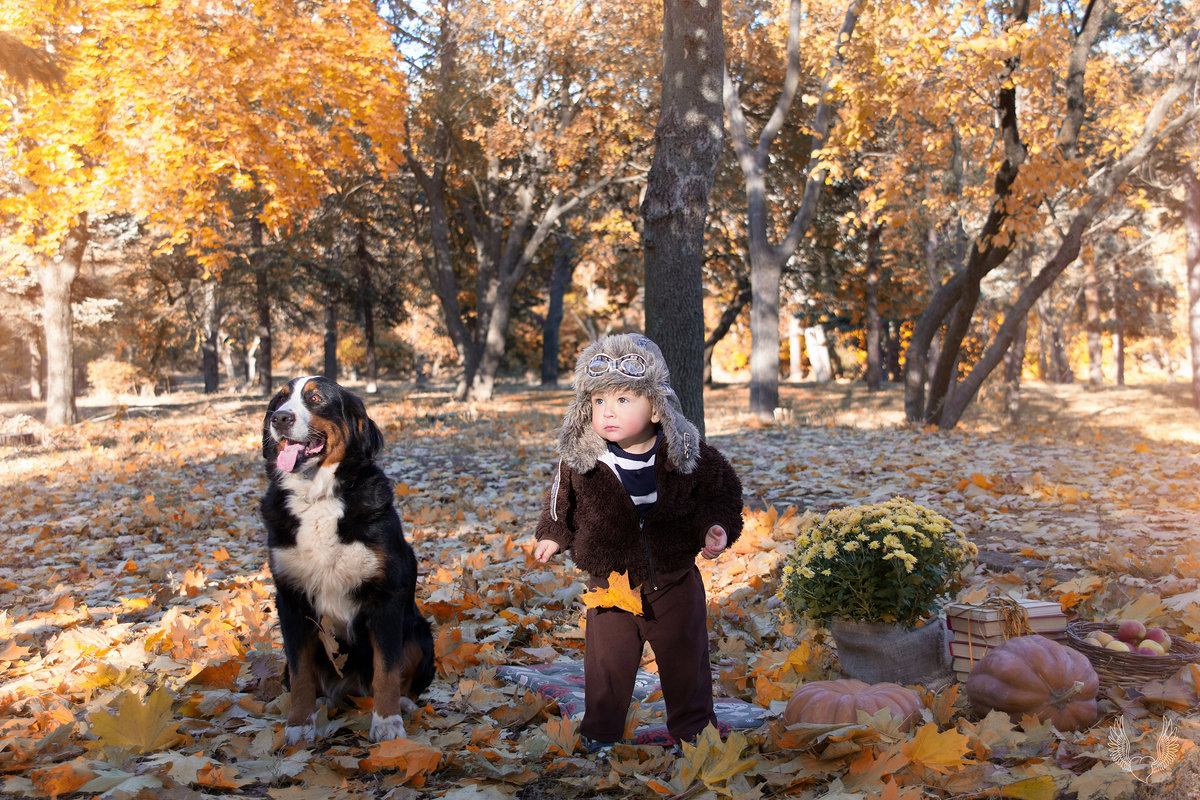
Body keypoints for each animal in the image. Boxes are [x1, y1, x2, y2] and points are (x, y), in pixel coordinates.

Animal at [260, 376, 439, 743]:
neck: (319, 498)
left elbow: (387, 671)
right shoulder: (291, 600)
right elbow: (300, 674)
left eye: (315, 399)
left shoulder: (385, 599)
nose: (280, 419)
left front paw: (387, 723)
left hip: (417, 632)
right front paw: (298, 725)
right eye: (280, 401)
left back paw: (405, 704)